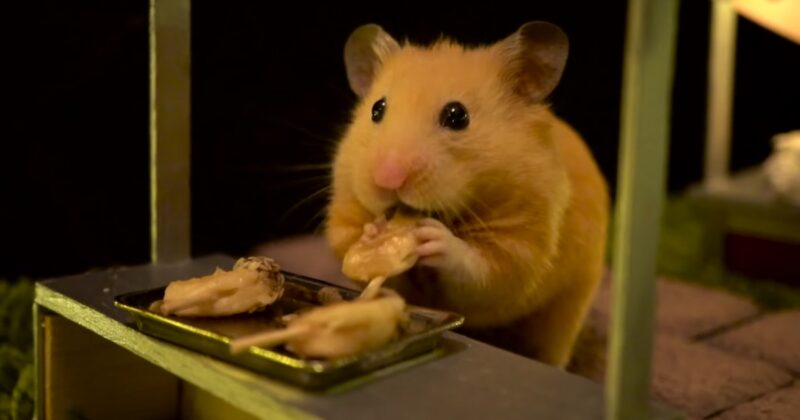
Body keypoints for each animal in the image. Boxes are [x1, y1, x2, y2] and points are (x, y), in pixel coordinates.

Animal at [323, 21, 610, 368]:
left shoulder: (521, 248)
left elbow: (478, 269)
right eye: (377, 110)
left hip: (567, 309)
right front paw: (373, 232)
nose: (387, 177)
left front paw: (434, 238)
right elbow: (384, 277)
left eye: (457, 116)